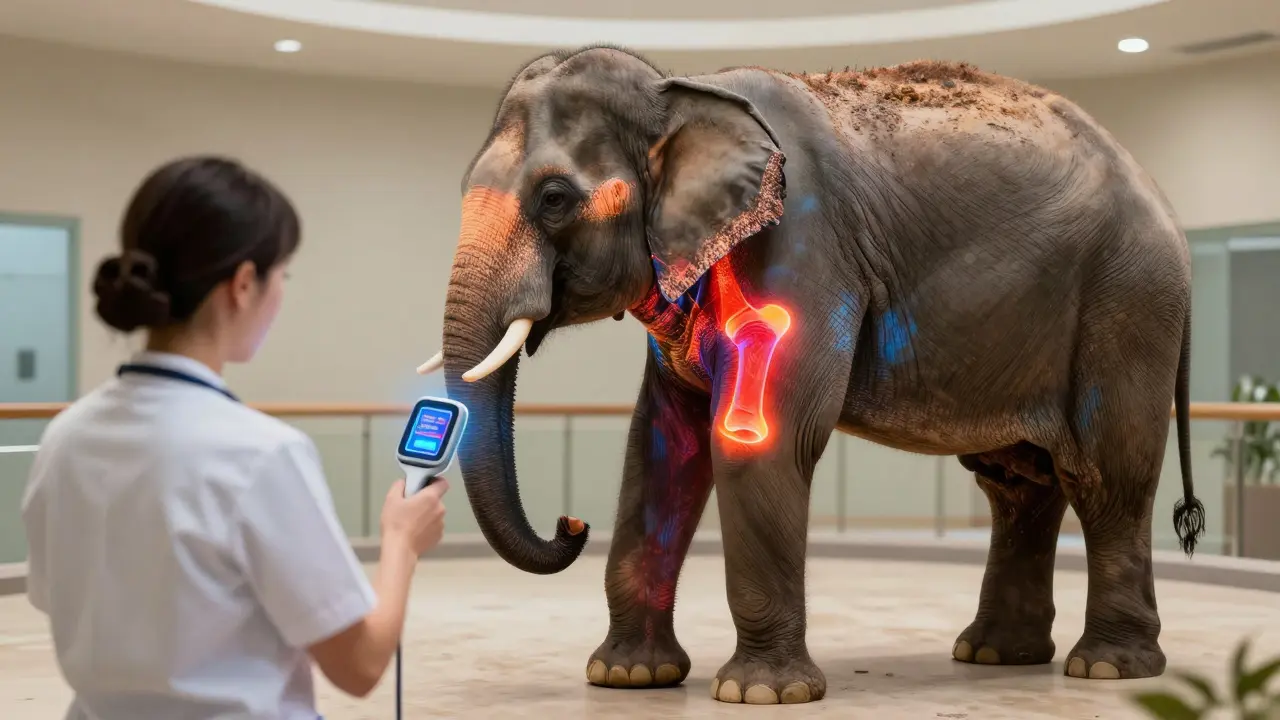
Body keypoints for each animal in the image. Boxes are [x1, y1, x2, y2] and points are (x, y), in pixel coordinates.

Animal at [416, 45, 1206, 705]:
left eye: (554, 198)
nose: (571, 523)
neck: (680, 90)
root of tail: (1168, 210)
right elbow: (660, 445)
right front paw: (627, 677)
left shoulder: (802, 248)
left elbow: (760, 441)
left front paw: (760, 693)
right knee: (1019, 486)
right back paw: (994, 656)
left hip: (1126, 307)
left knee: (1107, 479)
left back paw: (1105, 667)